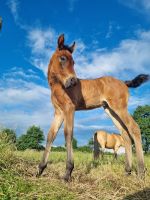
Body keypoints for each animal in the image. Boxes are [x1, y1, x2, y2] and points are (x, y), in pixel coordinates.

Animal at [37, 34, 149, 181]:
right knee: (125, 133)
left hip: (120, 108)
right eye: (63, 58)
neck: (59, 86)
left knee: (134, 128)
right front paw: (40, 169)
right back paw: (127, 171)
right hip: (110, 110)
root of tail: (124, 83)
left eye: (74, 62)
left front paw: (68, 172)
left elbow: (68, 134)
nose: (73, 81)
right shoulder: (58, 112)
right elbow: (51, 135)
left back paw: (141, 172)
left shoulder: (69, 109)